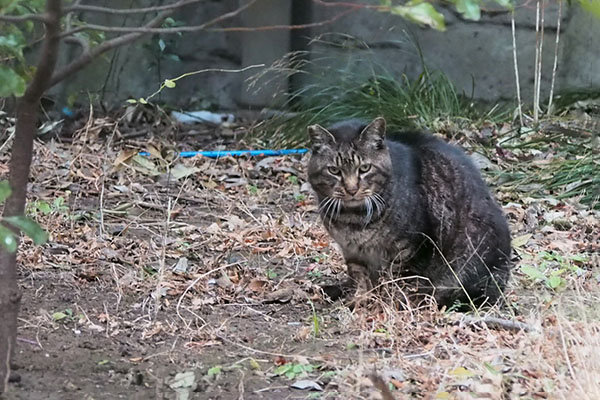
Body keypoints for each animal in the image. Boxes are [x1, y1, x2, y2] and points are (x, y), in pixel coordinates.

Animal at [310, 117, 510, 308]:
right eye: (334, 170)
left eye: (365, 168)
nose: (351, 190)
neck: (352, 219)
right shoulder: (353, 253)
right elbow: (361, 279)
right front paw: (361, 299)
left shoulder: (412, 249)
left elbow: (400, 283)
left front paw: (390, 304)